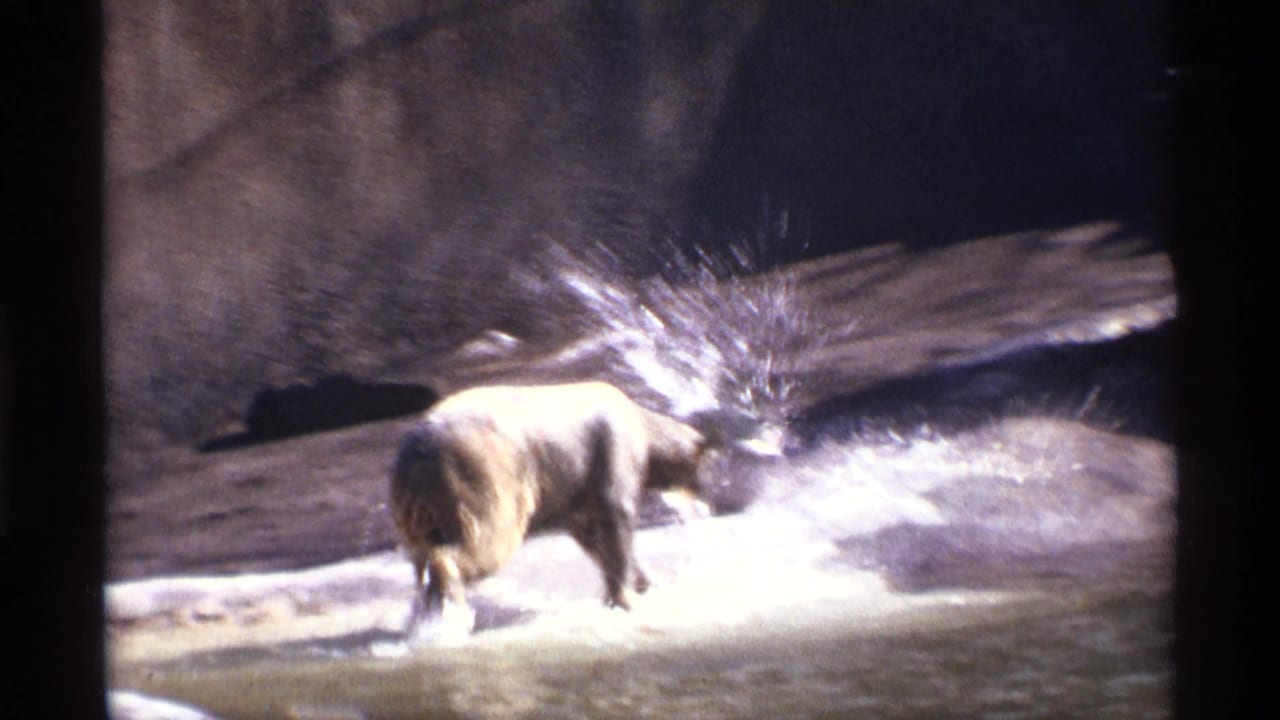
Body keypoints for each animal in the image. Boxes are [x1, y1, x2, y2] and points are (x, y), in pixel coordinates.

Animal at [389, 381, 713, 629]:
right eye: (702, 468)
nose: (706, 498)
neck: (643, 425)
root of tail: (419, 449)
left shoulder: (577, 492)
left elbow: (593, 536)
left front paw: (640, 582)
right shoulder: (611, 451)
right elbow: (616, 514)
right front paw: (627, 598)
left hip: (413, 504)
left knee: (422, 551)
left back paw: (426, 612)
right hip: (481, 473)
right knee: (486, 539)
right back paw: (451, 601)